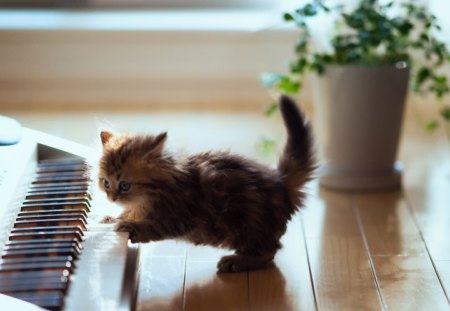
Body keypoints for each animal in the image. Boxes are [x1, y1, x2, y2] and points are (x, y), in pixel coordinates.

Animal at [97, 95, 316, 272]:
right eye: (106, 183)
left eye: (124, 185)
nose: (111, 197)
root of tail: (280, 182)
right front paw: (111, 218)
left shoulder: (181, 216)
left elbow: (154, 226)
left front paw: (131, 226)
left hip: (248, 223)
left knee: (269, 251)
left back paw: (238, 261)